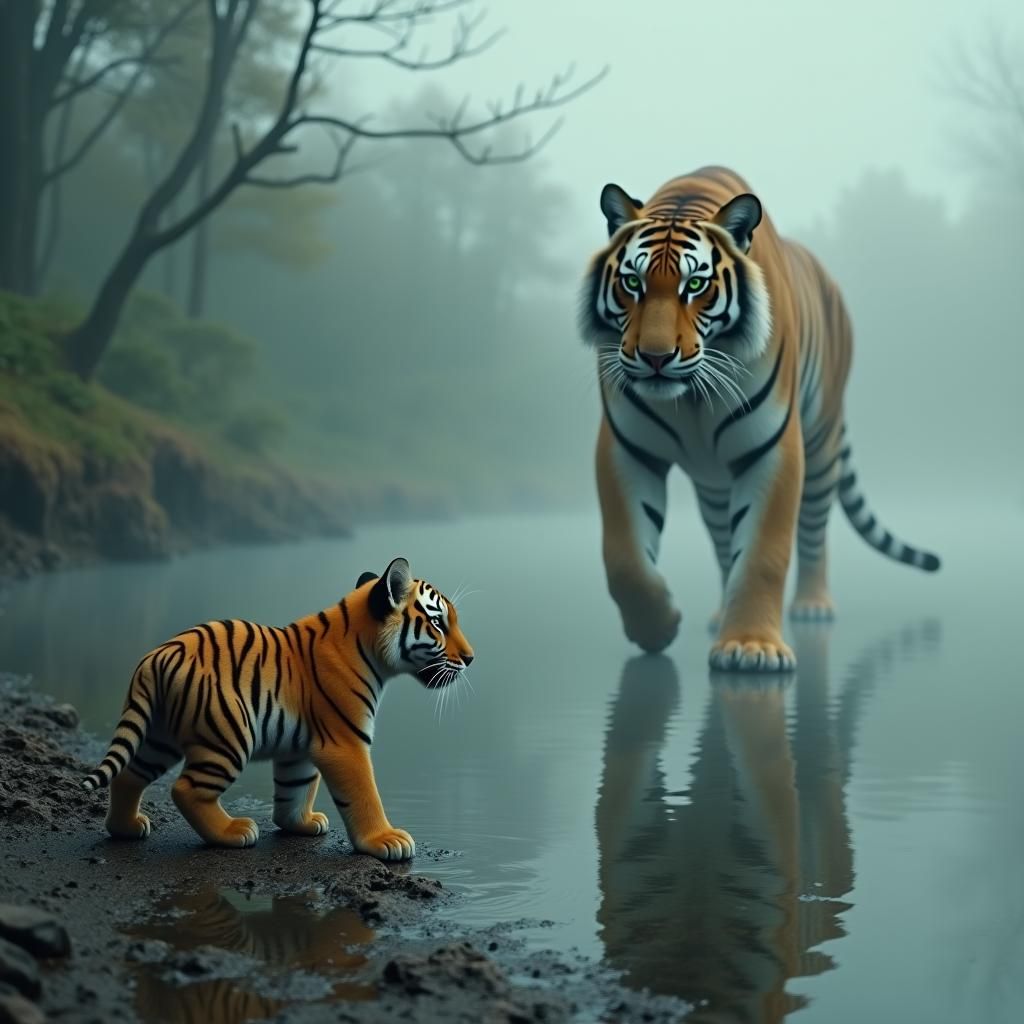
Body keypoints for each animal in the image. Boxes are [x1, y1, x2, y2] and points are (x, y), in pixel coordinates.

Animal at [82, 558, 474, 861]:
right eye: (438, 624)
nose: (471, 658)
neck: (371, 651)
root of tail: (157, 656)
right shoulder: (345, 742)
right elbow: (364, 795)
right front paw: (385, 840)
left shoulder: (300, 745)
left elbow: (295, 787)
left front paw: (301, 823)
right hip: (227, 735)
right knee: (186, 789)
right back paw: (233, 832)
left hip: (159, 735)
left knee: (129, 774)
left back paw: (126, 828)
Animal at [580, 165, 940, 671]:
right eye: (633, 283)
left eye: (695, 286)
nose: (655, 358)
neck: (691, 396)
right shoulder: (625, 449)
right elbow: (625, 557)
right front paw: (657, 627)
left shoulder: (773, 449)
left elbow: (764, 553)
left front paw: (751, 647)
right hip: (713, 482)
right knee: (721, 541)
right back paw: (720, 613)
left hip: (822, 445)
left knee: (813, 532)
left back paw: (812, 606)